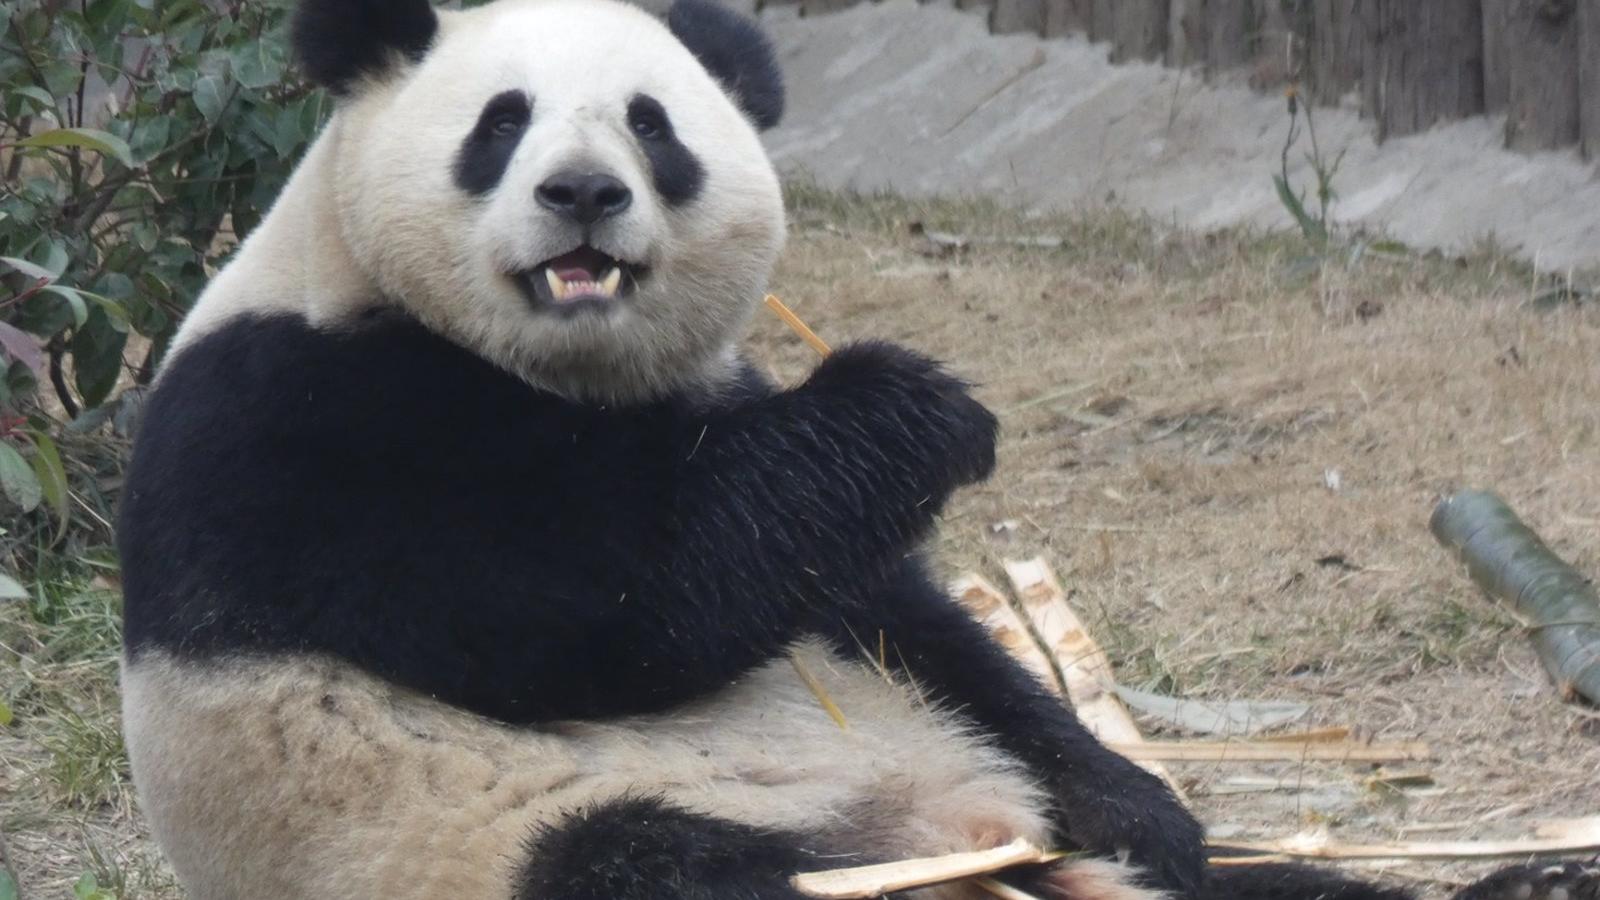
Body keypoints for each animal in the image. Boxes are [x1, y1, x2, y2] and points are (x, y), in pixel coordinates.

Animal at [115, 0, 1599, 898]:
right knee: (656, 865)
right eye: (502, 121)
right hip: (485, 829)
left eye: (652, 122)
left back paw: (1521, 872)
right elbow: (596, 608)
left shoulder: (721, 416)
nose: (583, 194)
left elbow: (900, 617)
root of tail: (951, 847)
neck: (562, 368)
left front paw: (1149, 807)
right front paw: (920, 404)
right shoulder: (302, 422)